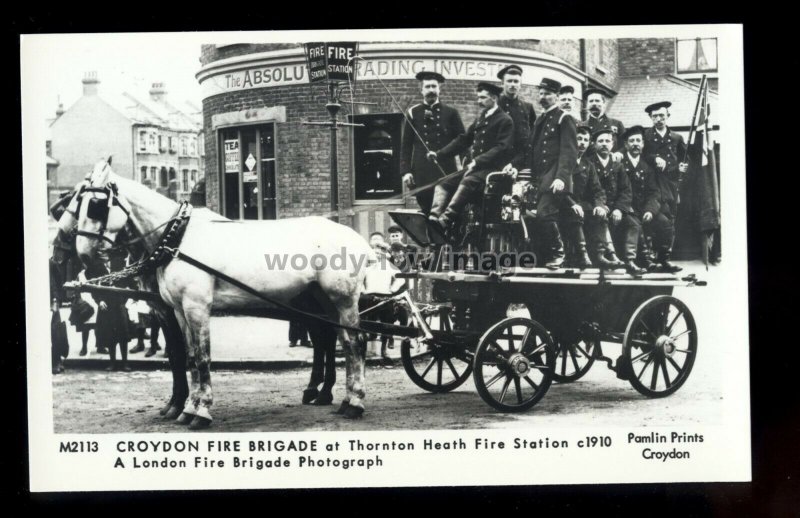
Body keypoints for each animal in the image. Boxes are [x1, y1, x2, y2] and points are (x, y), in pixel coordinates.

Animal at [62, 159, 376, 430]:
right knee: (338, 340)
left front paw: (200, 411)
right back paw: (339, 397)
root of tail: (358, 240)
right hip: (322, 301)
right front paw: (187, 407)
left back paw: (355, 402)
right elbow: (188, 357)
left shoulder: (196, 306)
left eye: (95, 205)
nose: (83, 255)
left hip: (343, 300)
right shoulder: (177, 309)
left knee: (355, 343)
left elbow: (202, 357)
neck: (178, 238)